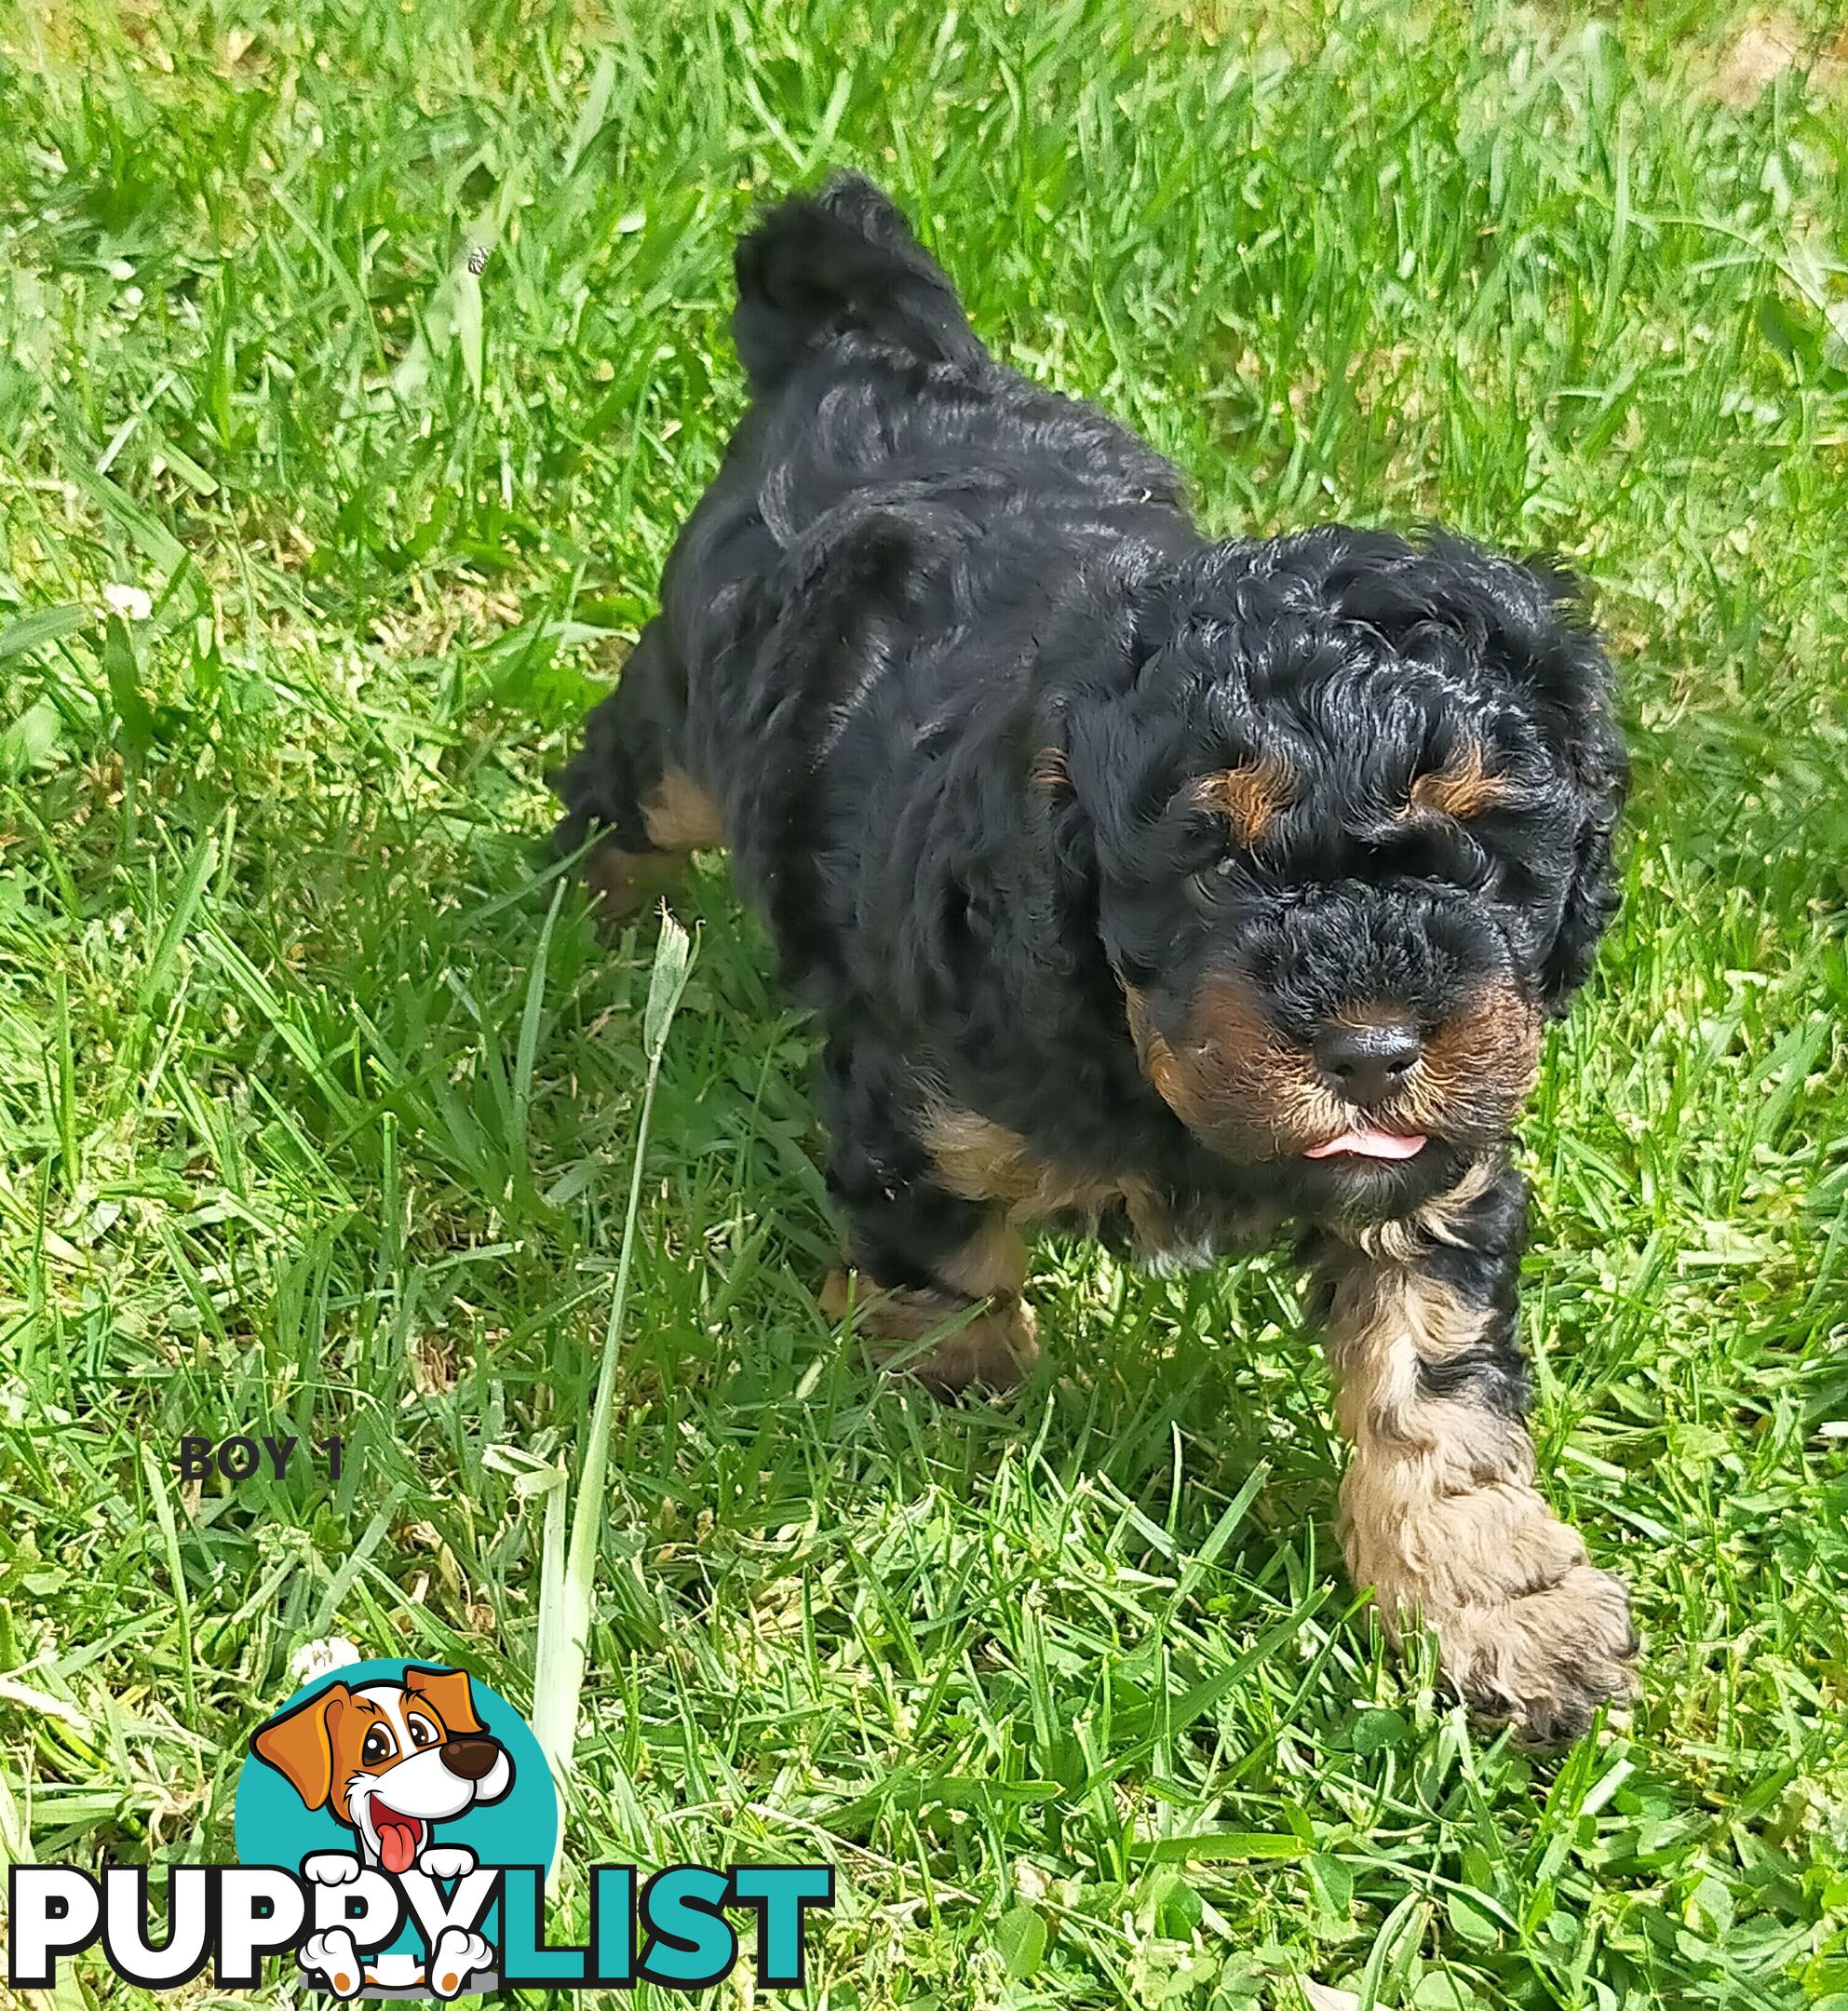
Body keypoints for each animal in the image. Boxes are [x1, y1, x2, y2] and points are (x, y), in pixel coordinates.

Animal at [555, 177, 1640, 1745]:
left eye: (1485, 844)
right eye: (1211, 860)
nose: (1375, 1050)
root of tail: (876, 350)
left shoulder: (1434, 1172)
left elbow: (1434, 1394)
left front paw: (1504, 1615)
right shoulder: (922, 1098)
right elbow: (940, 1264)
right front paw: (952, 1402)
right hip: (689, 711)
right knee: (624, 788)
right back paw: (583, 926)